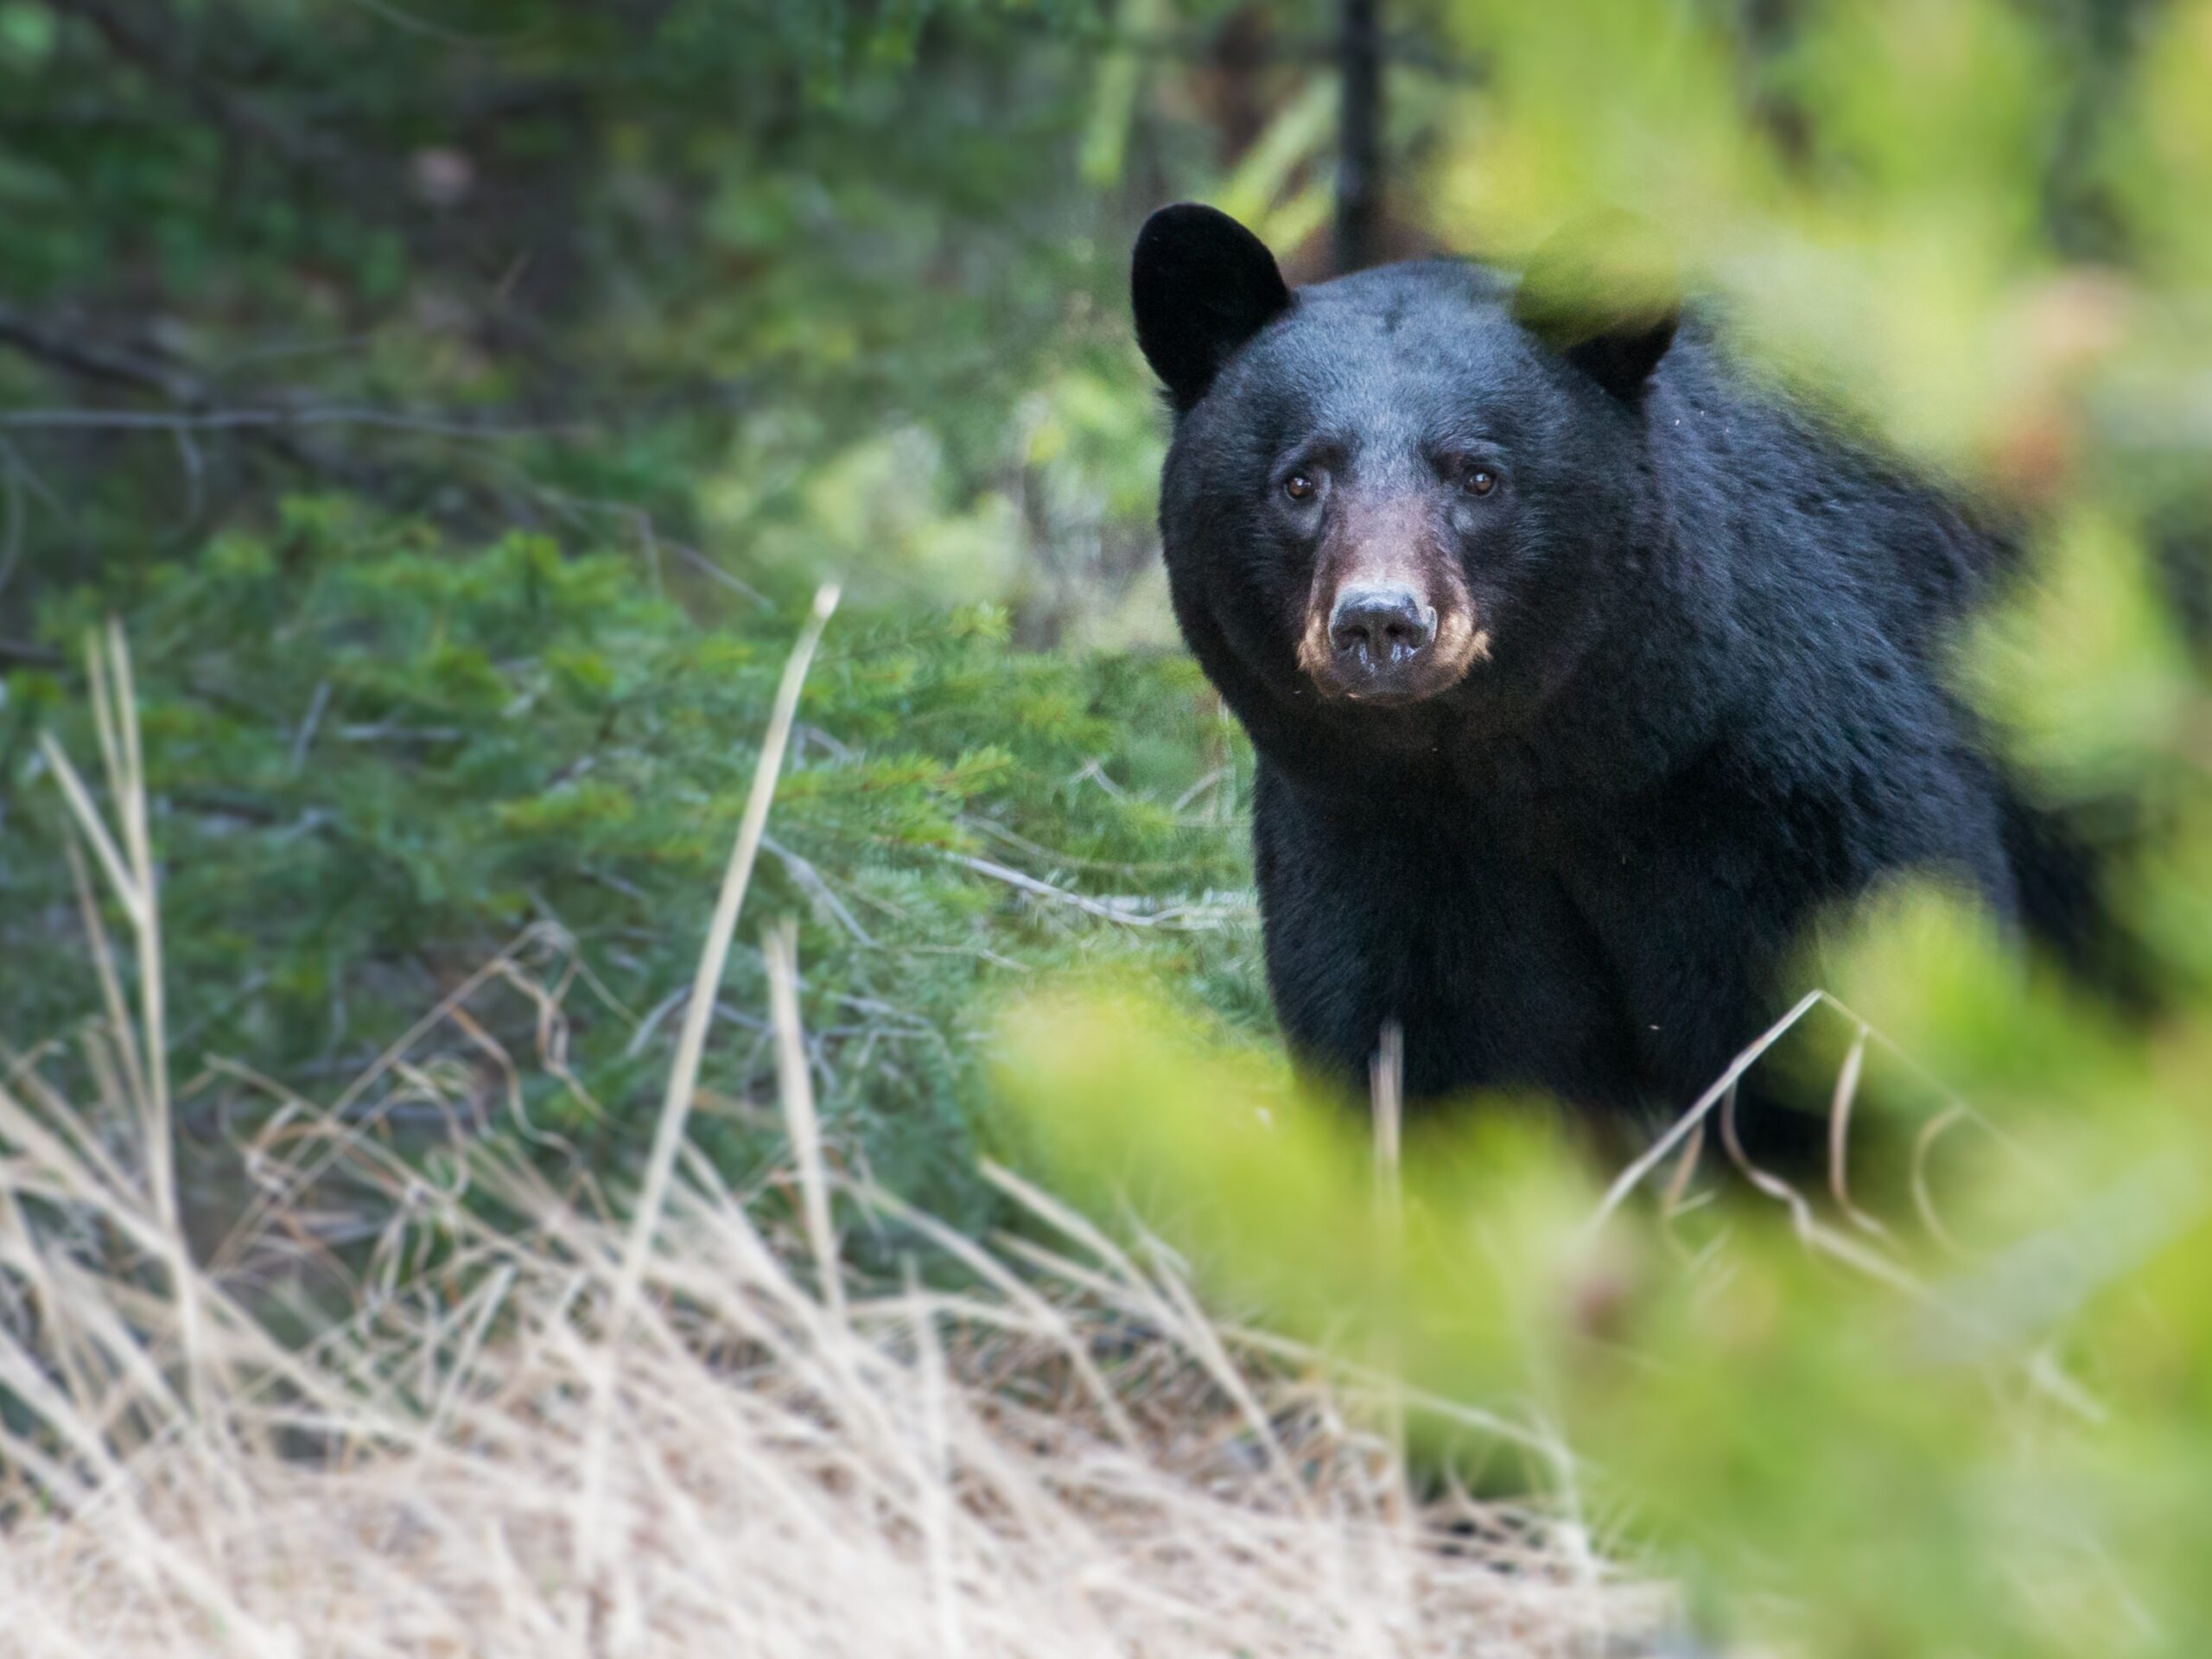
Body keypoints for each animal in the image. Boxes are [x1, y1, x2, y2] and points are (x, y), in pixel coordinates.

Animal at [1129, 201, 2095, 1150]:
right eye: (1300, 482)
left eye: (1479, 476)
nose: (1380, 621)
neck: (1549, 769)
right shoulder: (1380, 836)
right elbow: (1435, 1056)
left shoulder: (1795, 788)